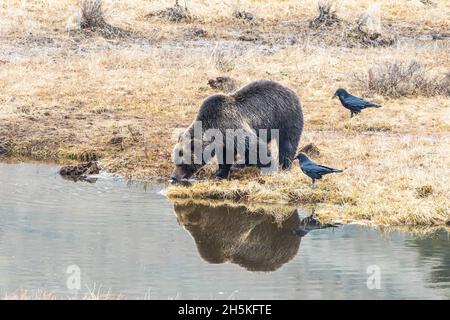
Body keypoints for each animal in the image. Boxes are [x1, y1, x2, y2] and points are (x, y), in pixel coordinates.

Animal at [171, 79, 304, 181]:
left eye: (182, 163)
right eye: (175, 160)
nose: (173, 177)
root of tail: (290, 90)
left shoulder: (232, 127)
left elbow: (255, 146)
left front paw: (268, 168)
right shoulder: (223, 141)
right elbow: (225, 157)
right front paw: (219, 174)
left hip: (286, 117)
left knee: (288, 143)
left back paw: (285, 166)